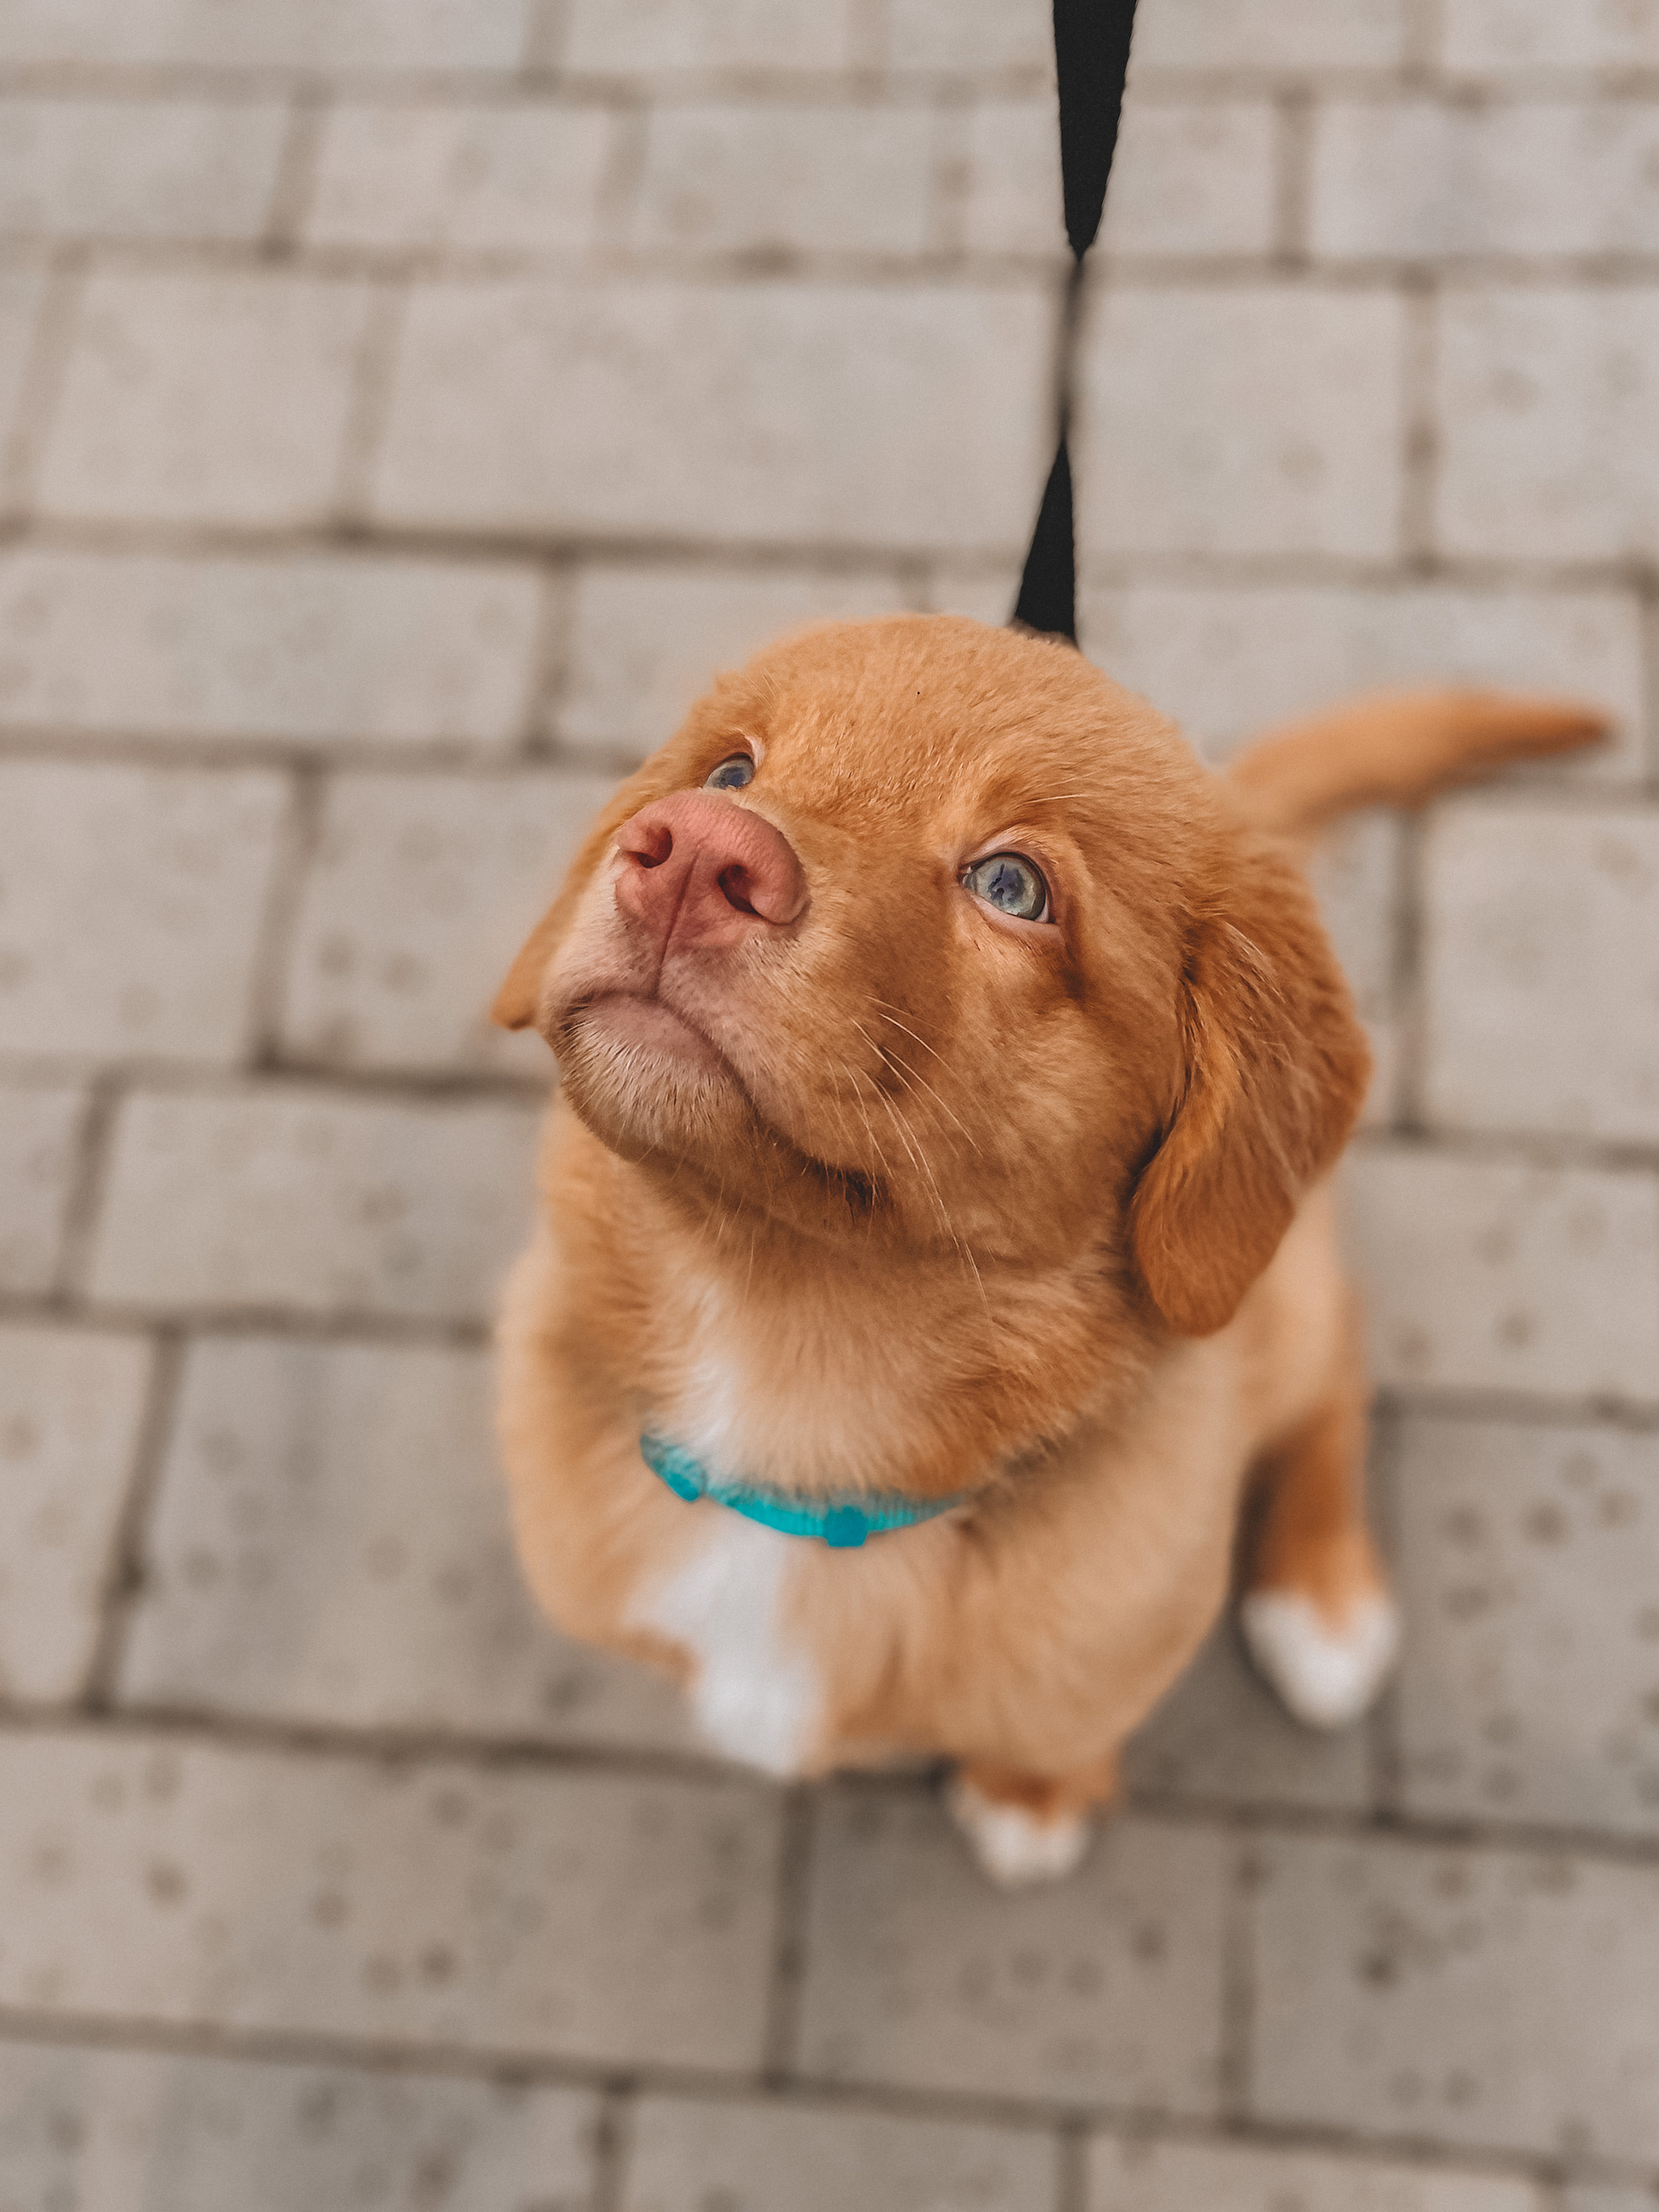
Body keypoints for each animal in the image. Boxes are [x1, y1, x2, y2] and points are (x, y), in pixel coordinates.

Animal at [491, 619, 1601, 1884]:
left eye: (1012, 885)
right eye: (729, 772)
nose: (689, 852)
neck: (788, 1364)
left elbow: (1060, 1724)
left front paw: (1033, 1796)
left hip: (1280, 1301)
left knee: (1342, 1355)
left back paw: (1321, 1595)